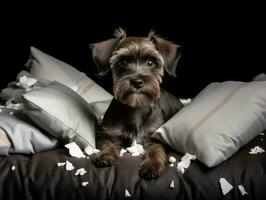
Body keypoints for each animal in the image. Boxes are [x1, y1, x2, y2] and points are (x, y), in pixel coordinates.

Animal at [89, 28, 183, 180]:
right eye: (123, 61)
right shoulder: (108, 134)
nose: (137, 82)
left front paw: (153, 164)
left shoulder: (154, 137)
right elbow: (108, 144)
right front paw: (106, 155)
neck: (136, 107)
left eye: (151, 62)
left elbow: (156, 149)